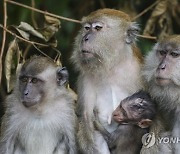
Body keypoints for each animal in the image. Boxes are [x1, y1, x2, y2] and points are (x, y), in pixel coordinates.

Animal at [71, 8, 144, 154]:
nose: (84, 38)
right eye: (86, 28)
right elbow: (86, 117)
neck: (112, 66)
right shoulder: (85, 78)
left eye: (98, 28)